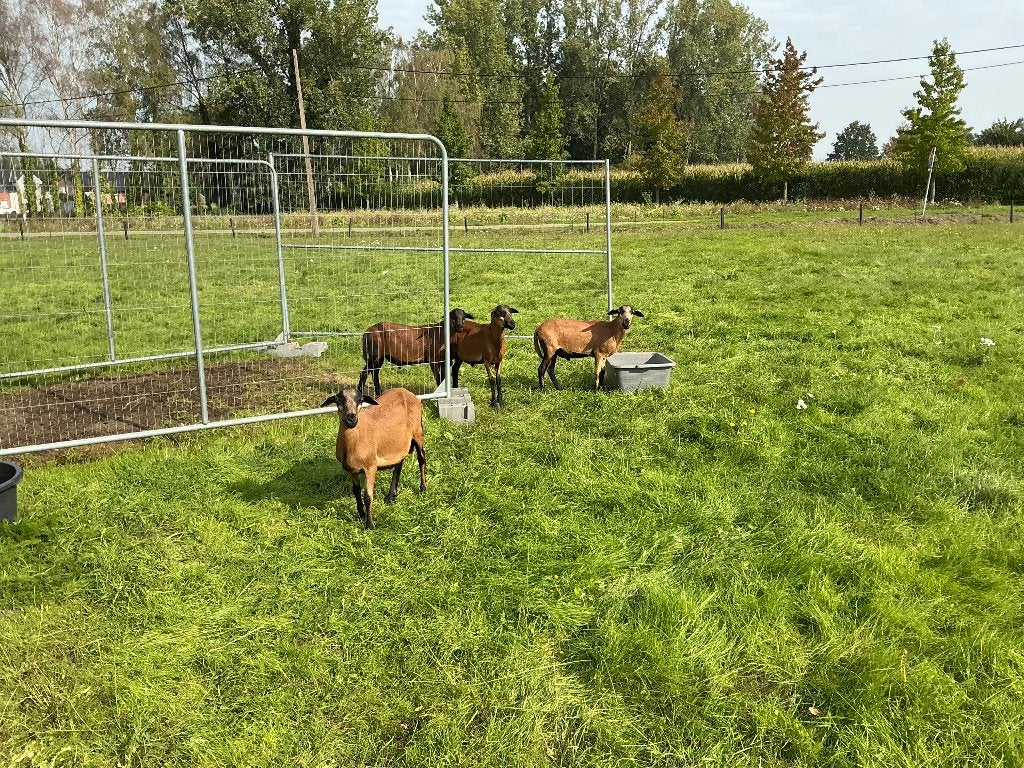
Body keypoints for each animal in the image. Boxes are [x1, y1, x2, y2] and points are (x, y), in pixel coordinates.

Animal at [320, 385, 426, 530]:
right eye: (338, 400)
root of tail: (405, 391)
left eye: (360, 400)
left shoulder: (370, 466)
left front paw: (369, 525)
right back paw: (391, 496)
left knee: (422, 458)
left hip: (417, 432)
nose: (351, 419)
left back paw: (423, 488)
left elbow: (368, 496)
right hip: (399, 442)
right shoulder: (351, 469)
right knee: (399, 464)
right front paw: (361, 514)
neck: (354, 441)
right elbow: (356, 491)